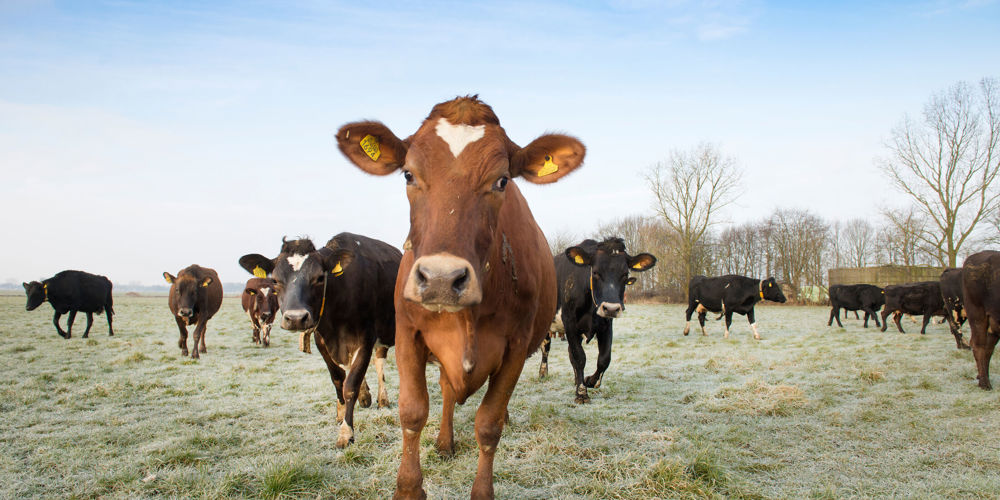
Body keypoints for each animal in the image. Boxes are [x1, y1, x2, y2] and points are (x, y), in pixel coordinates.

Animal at [239, 233, 400, 448]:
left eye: (320, 278)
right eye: (275, 280)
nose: (296, 318)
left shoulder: (365, 338)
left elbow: (351, 384)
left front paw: (346, 433)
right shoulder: (321, 340)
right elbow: (338, 379)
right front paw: (341, 413)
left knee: (379, 360)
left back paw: (382, 399)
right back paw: (365, 396)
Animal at [336, 95, 584, 499]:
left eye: (502, 180)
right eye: (408, 175)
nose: (440, 278)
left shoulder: (516, 347)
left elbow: (488, 423)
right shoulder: (408, 334)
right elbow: (413, 412)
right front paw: (409, 487)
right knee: (447, 391)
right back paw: (444, 442)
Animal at [537, 238, 655, 404]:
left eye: (625, 275)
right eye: (595, 272)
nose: (611, 308)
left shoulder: (606, 325)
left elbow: (604, 358)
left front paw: (589, 381)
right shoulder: (570, 322)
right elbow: (579, 357)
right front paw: (581, 393)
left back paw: (576, 379)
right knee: (546, 349)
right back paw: (543, 373)